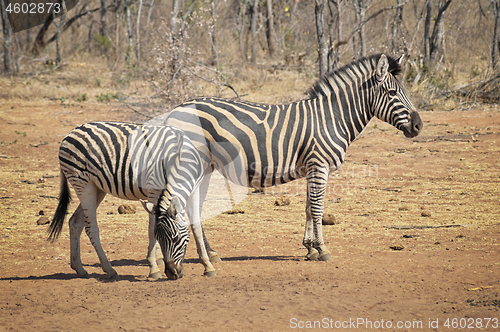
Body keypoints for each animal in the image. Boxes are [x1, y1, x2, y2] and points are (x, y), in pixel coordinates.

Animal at [47, 122, 217, 280]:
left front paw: (208, 266)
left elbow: (196, 227)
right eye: (160, 238)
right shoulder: (154, 191)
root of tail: (71, 132)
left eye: (175, 239)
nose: (171, 274)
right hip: (83, 183)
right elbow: (151, 230)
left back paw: (79, 268)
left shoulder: (194, 190)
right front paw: (153, 269)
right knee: (91, 228)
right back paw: (109, 270)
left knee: (75, 222)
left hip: (97, 188)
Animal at [163, 54, 422, 272]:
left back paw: (211, 254)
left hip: (204, 167)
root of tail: (174, 110)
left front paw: (310, 248)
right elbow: (317, 208)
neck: (333, 118)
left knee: (192, 207)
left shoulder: (312, 167)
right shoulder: (319, 165)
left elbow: (308, 207)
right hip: (193, 165)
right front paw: (323, 250)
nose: (419, 126)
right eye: (392, 93)